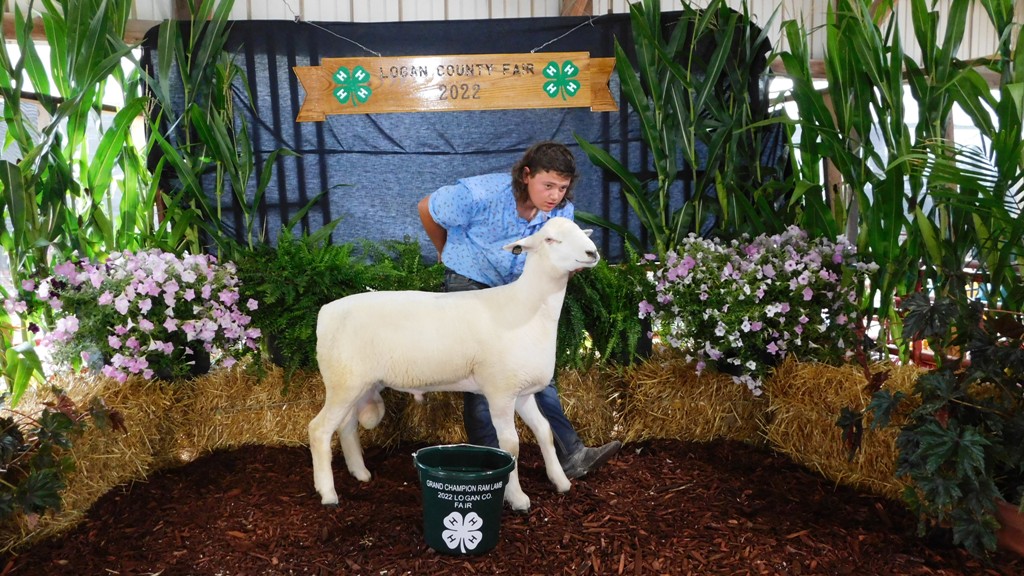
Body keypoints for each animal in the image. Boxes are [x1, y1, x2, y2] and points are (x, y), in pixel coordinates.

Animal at [308, 216, 600, 512]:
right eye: (550, 239)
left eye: (581, 232)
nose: (592, 253)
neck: (527, 308)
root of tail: (325, 312)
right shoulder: (500, 391)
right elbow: (511, 446)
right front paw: (517, 498)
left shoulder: (522, 392)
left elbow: (544, 431)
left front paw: (560, 481)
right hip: (344, 382)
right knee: (319, 430)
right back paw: (328, 494)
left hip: (360, 384)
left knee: (346, 426)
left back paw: (360, 473)